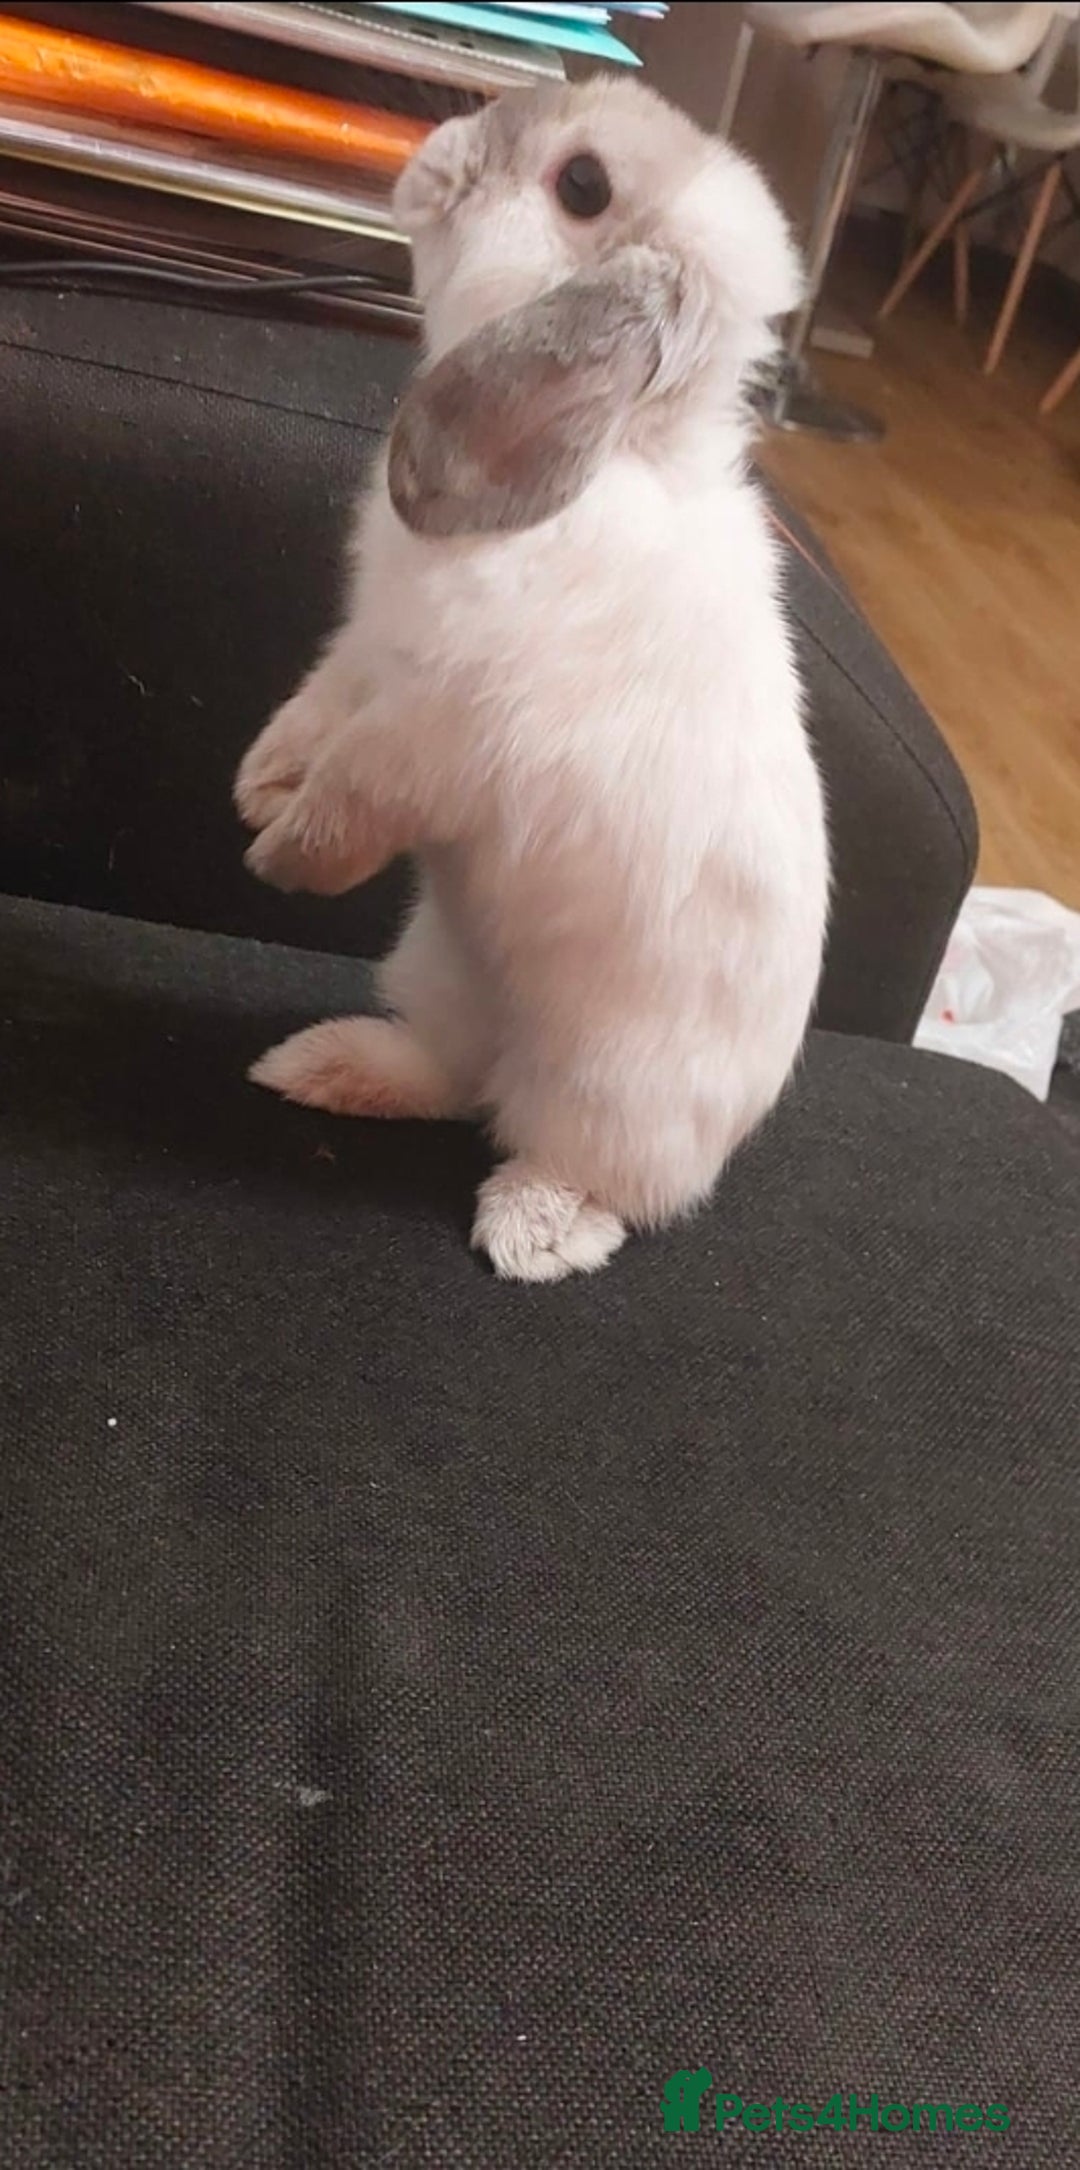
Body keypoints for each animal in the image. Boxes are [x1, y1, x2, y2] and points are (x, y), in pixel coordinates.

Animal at [235, 75, 829, 1284]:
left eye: (582, 184)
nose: (438, 147)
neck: (618, 455)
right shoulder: (365, 654)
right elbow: (312, 722)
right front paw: (257, 791)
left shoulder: (436, 734)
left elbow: (352, 798)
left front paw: (282, 856)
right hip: (438, 971)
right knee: (454, 1082)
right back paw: (318, 1065)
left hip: (606, 1087)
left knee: (580, 1165)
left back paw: (532, 1234)